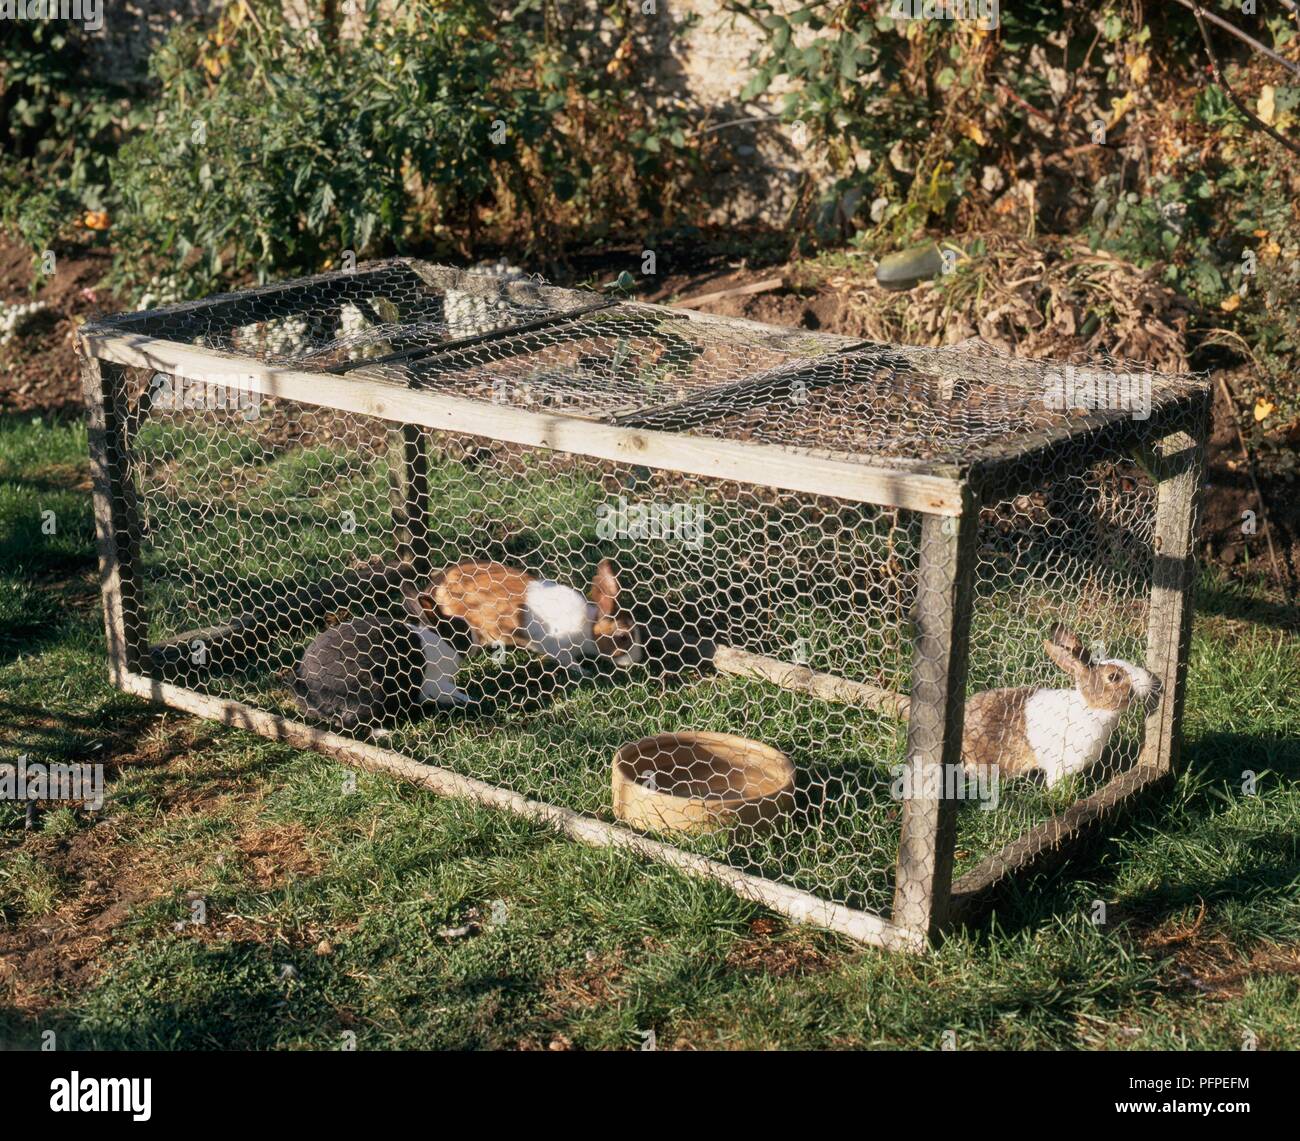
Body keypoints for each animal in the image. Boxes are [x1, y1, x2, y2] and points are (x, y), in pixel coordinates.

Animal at [419, 558, 642, 678]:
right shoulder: (560, 650)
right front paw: (585, 673)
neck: (589, 629)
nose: (637, 659)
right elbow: (570, 663)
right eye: (623, 637)